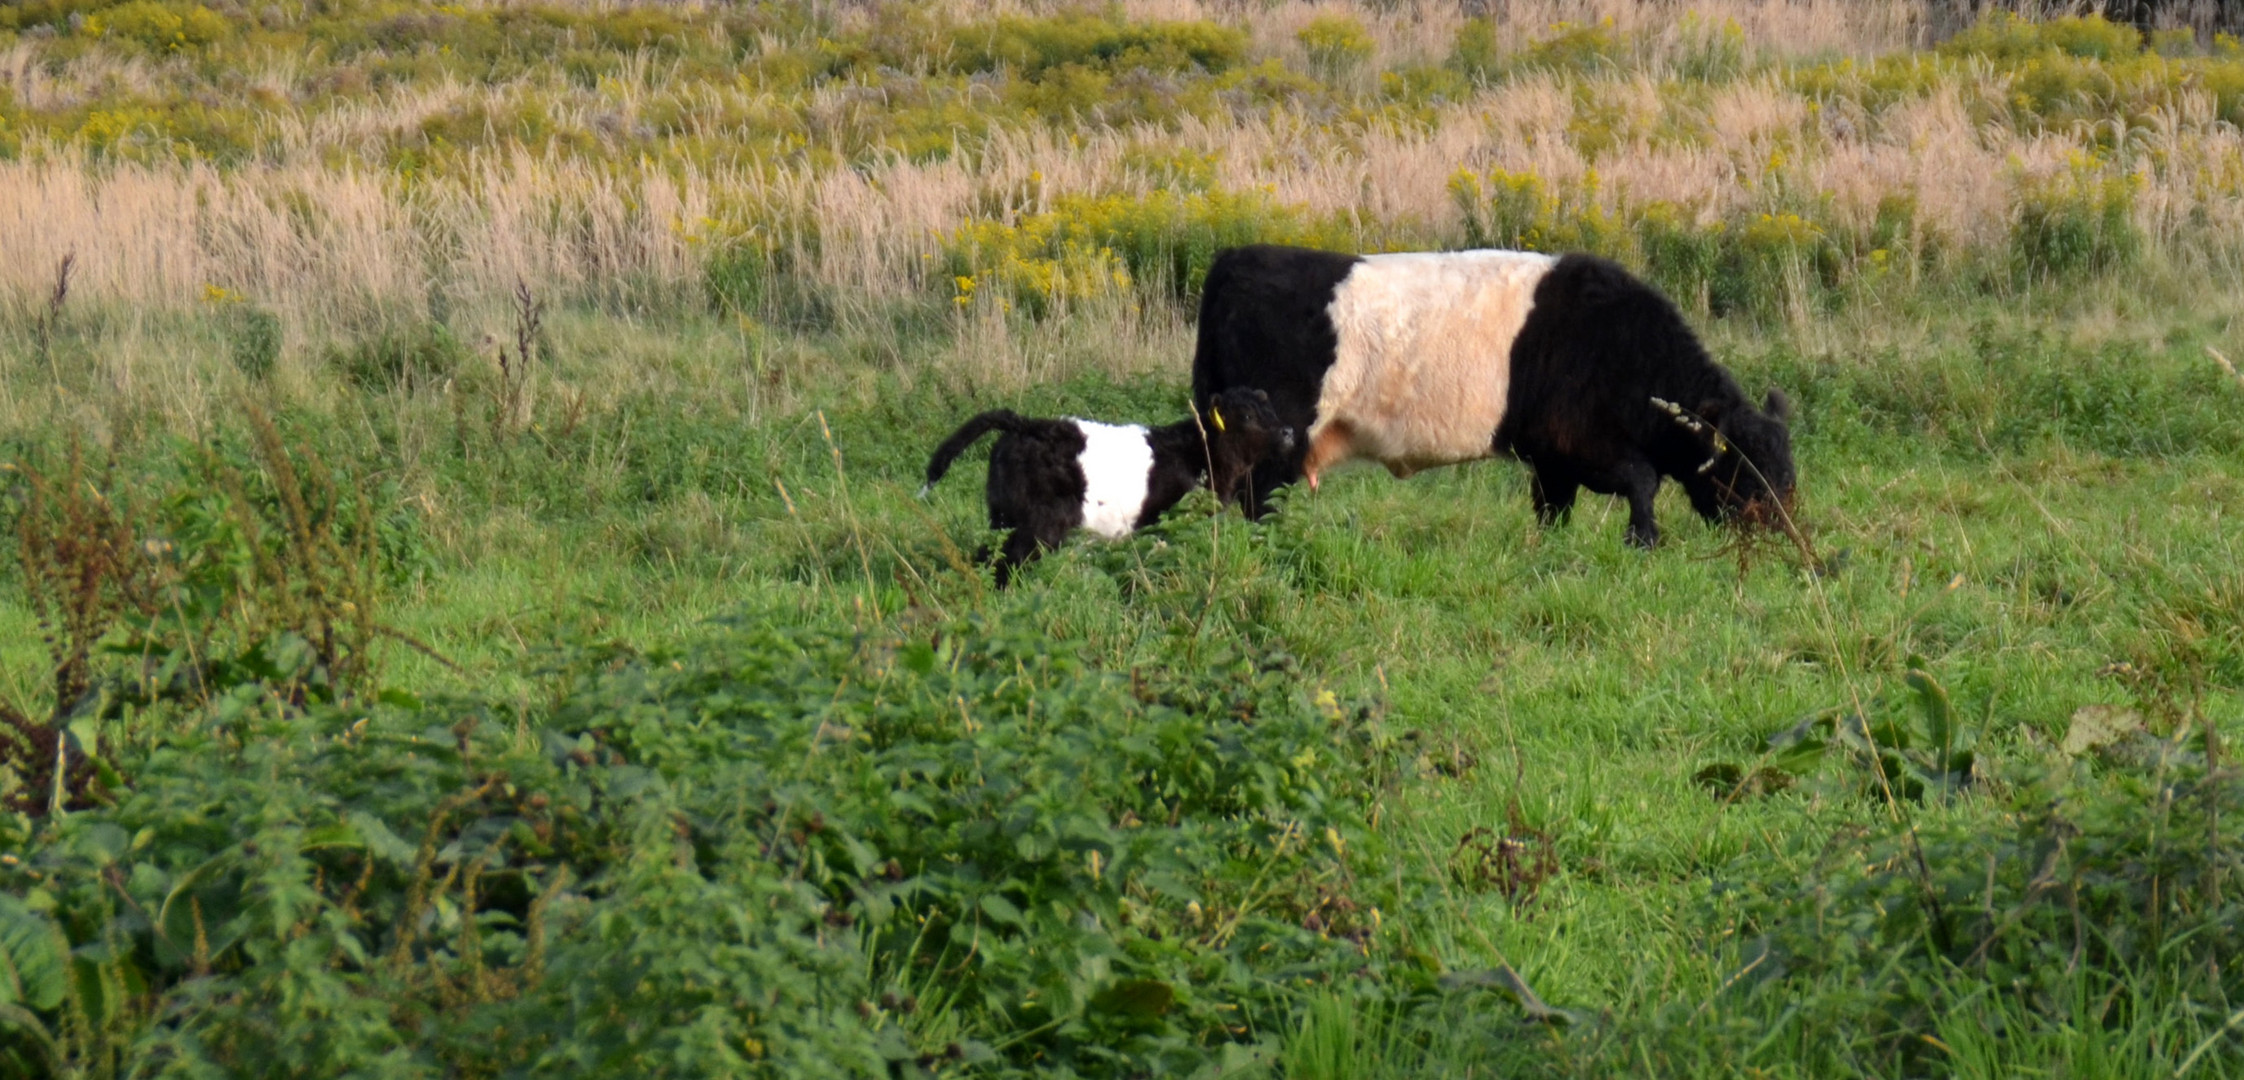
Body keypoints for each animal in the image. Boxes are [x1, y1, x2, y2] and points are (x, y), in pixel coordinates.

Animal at [915, 386, 1301, 579]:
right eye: (1247, 416)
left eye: (1270, 409)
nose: (1287, 431)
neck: (1199, 451)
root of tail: (1026, 424)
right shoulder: (1172, 522)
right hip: (1036, 525)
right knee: (1009, 561)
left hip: (1003, 517)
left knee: (986, 555)